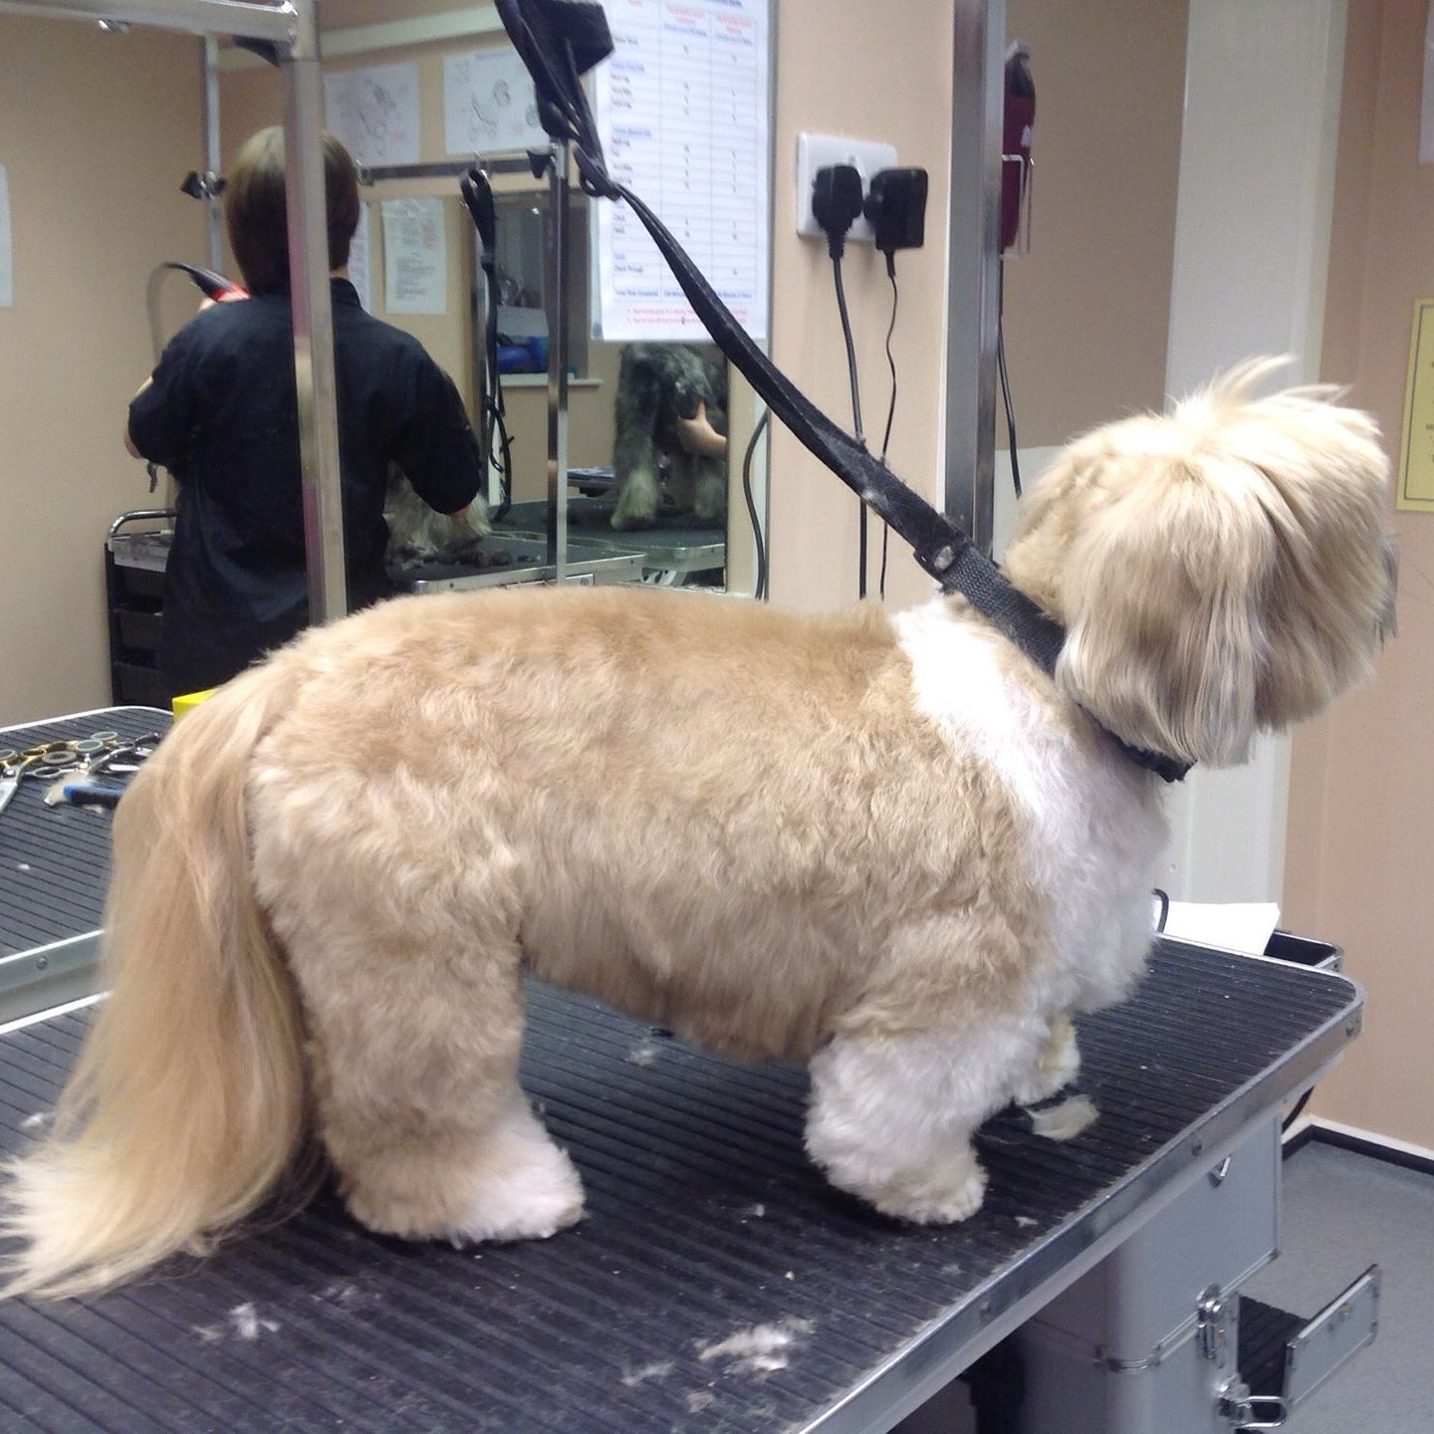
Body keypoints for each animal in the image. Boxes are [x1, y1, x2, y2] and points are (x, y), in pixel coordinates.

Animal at [0, 361, 1388, 1302]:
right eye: (1340, 535)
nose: (1387, 603)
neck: (1051, 666)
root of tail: (284, 676)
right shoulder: (949, 976)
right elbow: (895, 1109)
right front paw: (929, 1187)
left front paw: (1038, 1077)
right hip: (416, 956)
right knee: (411, 1123)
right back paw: (507, 1195)